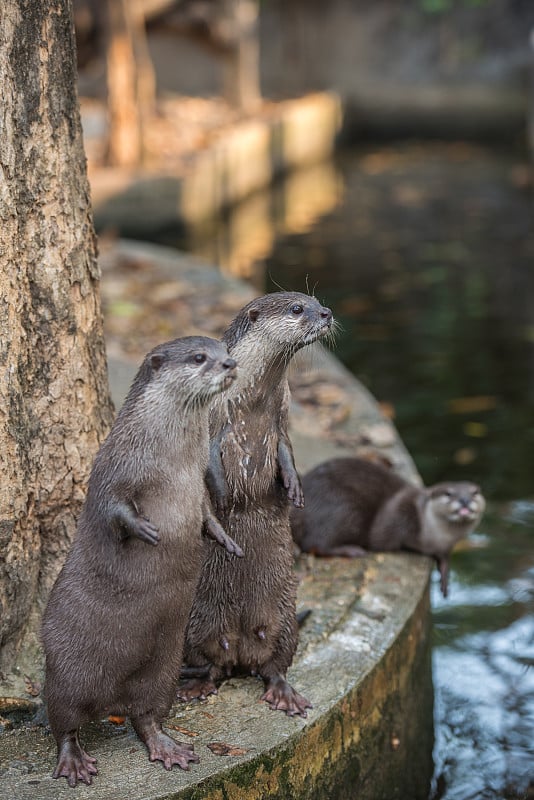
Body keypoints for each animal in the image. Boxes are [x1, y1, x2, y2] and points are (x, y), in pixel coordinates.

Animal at [43, 336, 240, 788]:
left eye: (223, 349)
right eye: (199, 357)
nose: (230, 364)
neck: (172, 462)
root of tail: (109, 701)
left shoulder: (198, 483)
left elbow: (206, 515)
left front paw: (225, 539)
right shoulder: (113, 467)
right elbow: (112, 507)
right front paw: (147, 531)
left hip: (162, 671)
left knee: (147, 717)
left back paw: (168, 748)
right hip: (64, 673)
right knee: (64, 724)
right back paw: (74, 761)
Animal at [178, 294, 332, 720]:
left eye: (316, 301)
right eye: (297, 308)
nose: (327, 313)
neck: (251, 401)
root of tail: (240, 647)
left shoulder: (282, 418)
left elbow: (287, 453)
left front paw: (294, 488)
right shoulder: (212, 420)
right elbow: (208, 462)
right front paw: (222, 495)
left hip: (283, 620)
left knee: (274, 666)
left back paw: (284, 694)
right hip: (196, 625)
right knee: (210, 665)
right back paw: (197, 685)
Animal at [292, 460, 488, 596]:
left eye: (474, 493)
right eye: (448, 493)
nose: (464, 500)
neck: (433, 534)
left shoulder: (444, 546)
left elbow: (444, 557)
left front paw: (445, 576)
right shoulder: (399, 513)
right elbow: (383, 537)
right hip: (343, 509)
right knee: (315, 543)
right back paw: (351, 550)